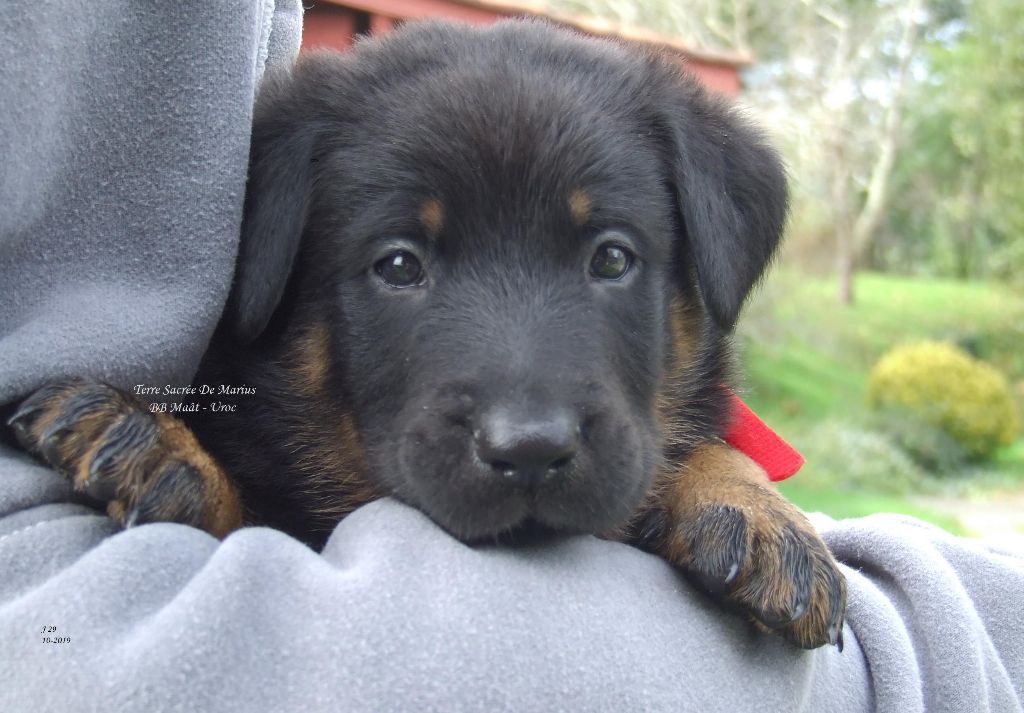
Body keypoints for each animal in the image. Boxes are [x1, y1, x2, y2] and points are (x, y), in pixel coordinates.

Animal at [8, 19, 845, 649]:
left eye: (612, 257)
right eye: (399, 265)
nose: (530, 450)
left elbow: (711, 439)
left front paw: (755, 508)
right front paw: (162, 443)